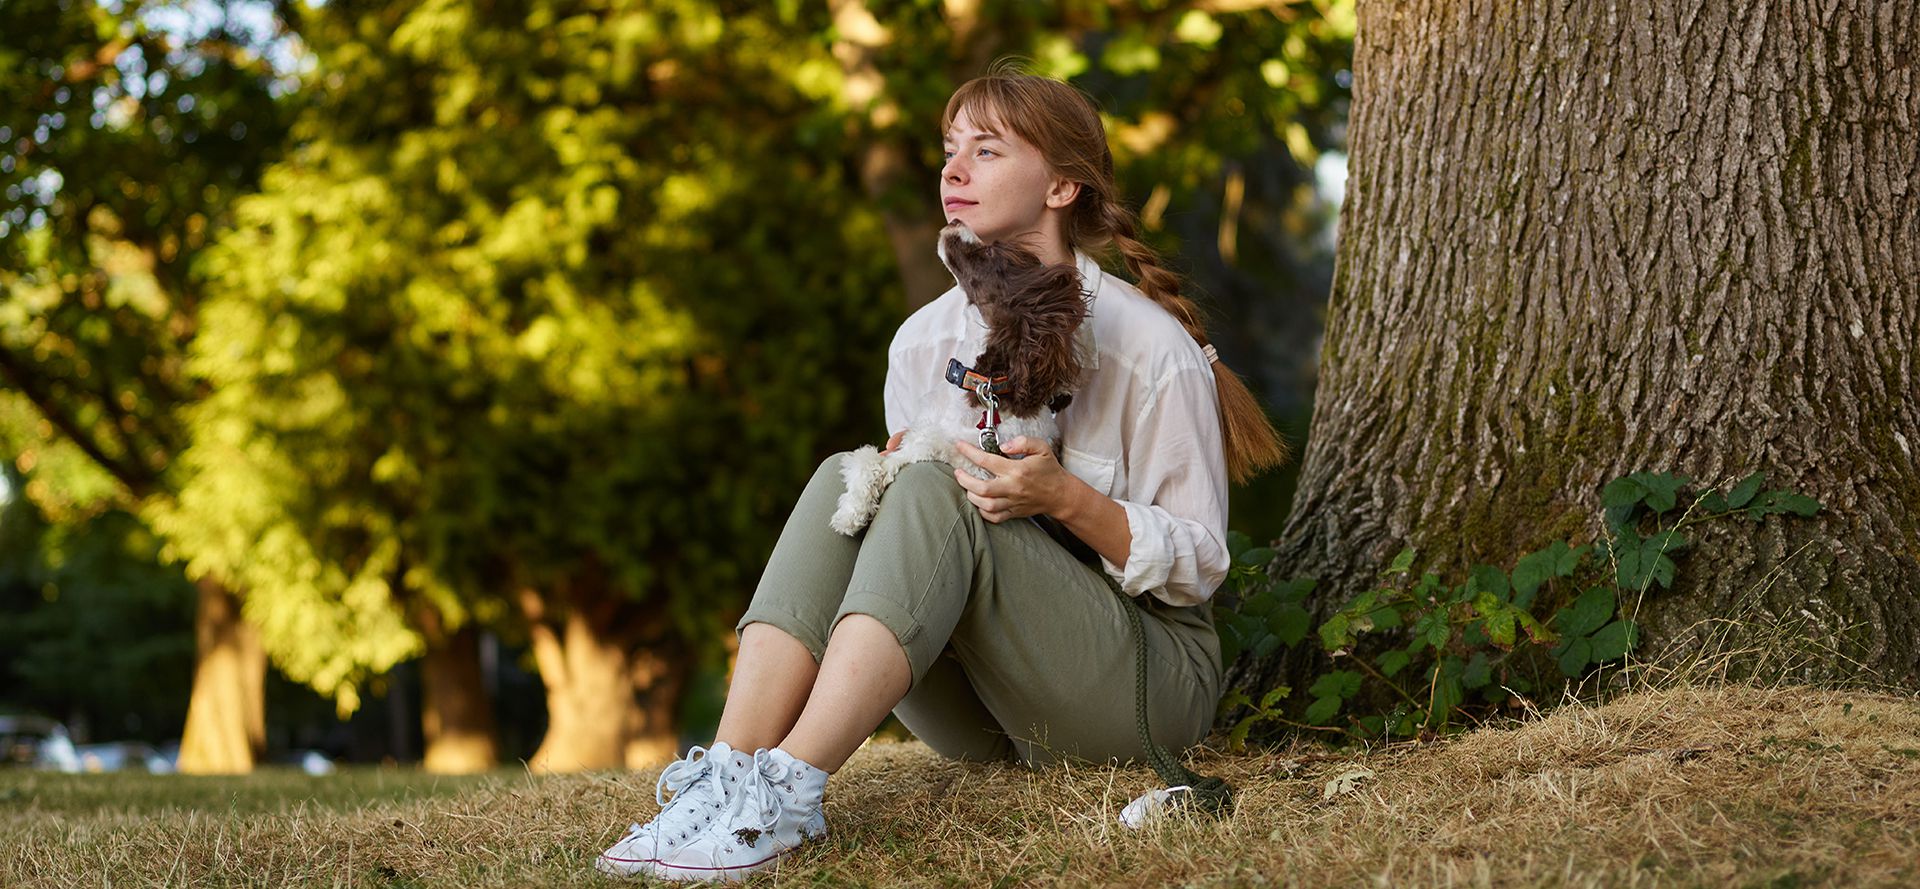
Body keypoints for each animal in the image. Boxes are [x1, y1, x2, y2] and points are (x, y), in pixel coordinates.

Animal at [829, 226, 1090, 537]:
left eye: (991, 253)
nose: (954, 222)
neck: (978, 387)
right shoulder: (917, 435)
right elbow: (869, 460)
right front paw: (851, 512)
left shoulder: (978, 464)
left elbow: (917, 457)